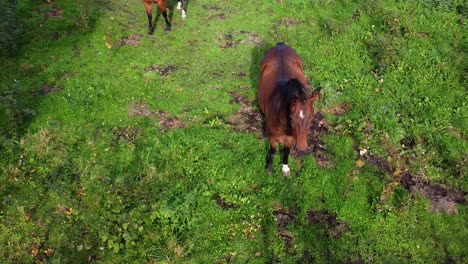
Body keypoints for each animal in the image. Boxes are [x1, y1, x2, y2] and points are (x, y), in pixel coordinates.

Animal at [258, 42, 320, 175]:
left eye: (312, 119)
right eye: (292, 118)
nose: (301, 148)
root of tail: (280, 44)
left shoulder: (291, 139)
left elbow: (286, 151)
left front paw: (285, 167)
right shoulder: (272, 138)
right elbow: (272, 152)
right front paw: (269, 168)